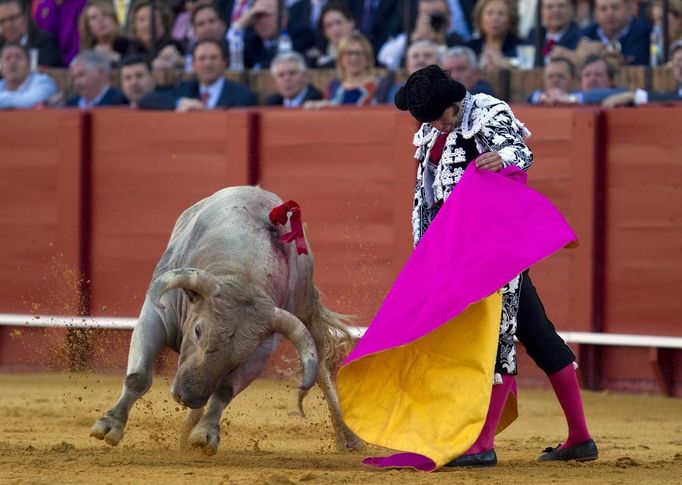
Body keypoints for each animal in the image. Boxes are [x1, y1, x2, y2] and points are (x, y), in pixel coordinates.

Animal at [93, 185, 364, 454]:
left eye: (240, 355)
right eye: (198, 331)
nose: (188, 396)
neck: (242, 275)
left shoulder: (260, 350)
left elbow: (223, 391)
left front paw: (205, 433)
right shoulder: (156, 314)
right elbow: (138, 376)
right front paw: (109, 425)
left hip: (306, 312)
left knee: (321, 373)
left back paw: (349, 439)